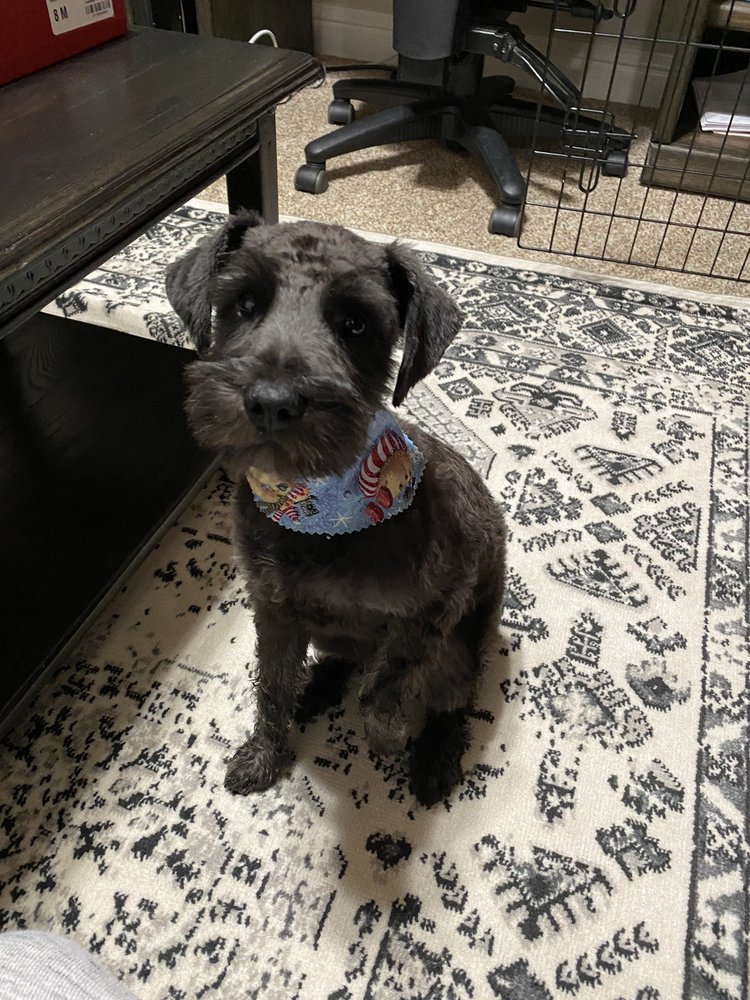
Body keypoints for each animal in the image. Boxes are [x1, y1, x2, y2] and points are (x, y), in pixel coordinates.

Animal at [166, 212, 506, 806]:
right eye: (244, 303)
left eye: (356, 323)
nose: (272, 402)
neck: (317, 514)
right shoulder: (274, 611)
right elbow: (272, 687)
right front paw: (264, 756)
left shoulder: (434, 611)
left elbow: (387, 681)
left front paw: (385, 733)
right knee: (344, 658)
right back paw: (320, 686)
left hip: (461, 648)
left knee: (452, 698)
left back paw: (435, 756)